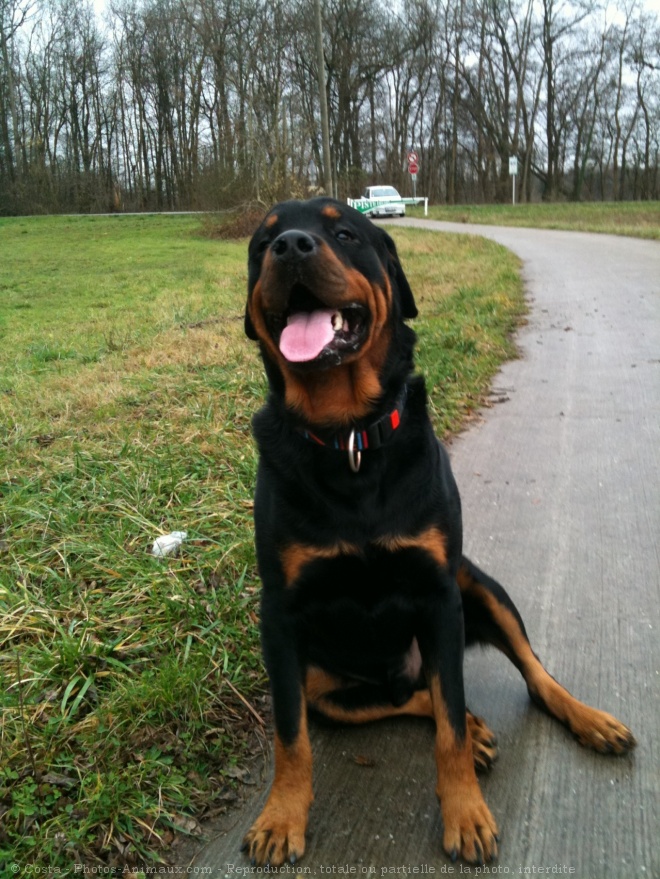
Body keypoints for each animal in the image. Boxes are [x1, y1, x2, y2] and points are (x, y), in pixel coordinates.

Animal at [241, 198, 636, 868]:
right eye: (263, 243)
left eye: (344, 232)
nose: (291, 246)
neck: (348, 438)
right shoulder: (281, 616)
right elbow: (291, 736)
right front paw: (282, 816)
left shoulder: (439, 595)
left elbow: (449, 720)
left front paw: (466, 812)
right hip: (330, 686)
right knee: (411, 695)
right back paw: (474, 728)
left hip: (479, 587)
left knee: (523, 676)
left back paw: (584, 719)